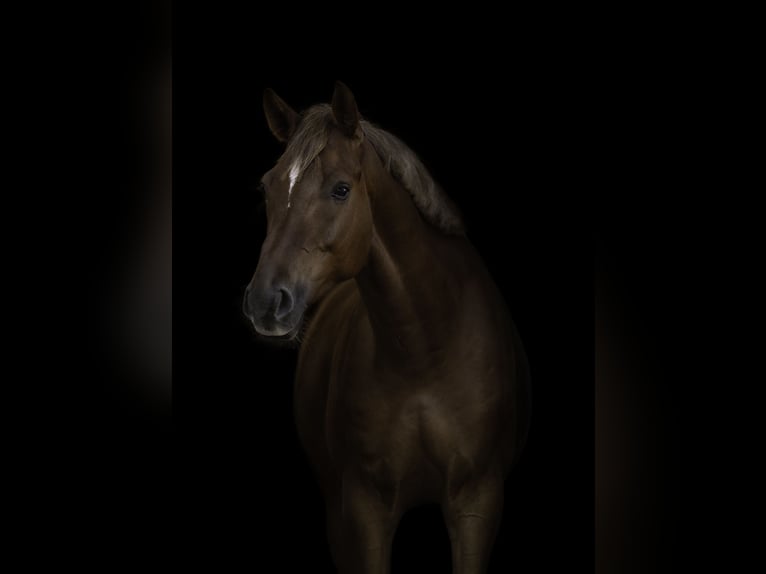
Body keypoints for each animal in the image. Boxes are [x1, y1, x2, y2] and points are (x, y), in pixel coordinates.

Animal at [243, 82, 531, 574]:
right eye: (267, 187)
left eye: (341, 189)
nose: (266, 302)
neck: (426, 350)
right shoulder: (364, 509)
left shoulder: (477, 503)